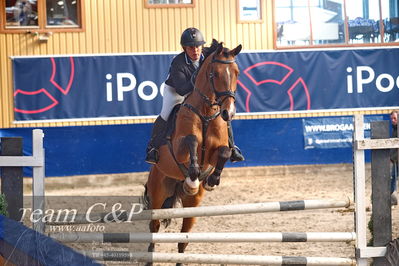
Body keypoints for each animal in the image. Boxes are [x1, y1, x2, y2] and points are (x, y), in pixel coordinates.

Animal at [145, 39, 242, 262]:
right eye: (215, 74)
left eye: (237, 73)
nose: (229, 112)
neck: (206, 112)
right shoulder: (179, 148)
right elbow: (191, 141)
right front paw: (194, 173)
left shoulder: (215, 152)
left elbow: (224, 153)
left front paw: (212, 180)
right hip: (157, 193)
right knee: (154, 230)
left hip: (193, 204)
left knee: (183, 240)